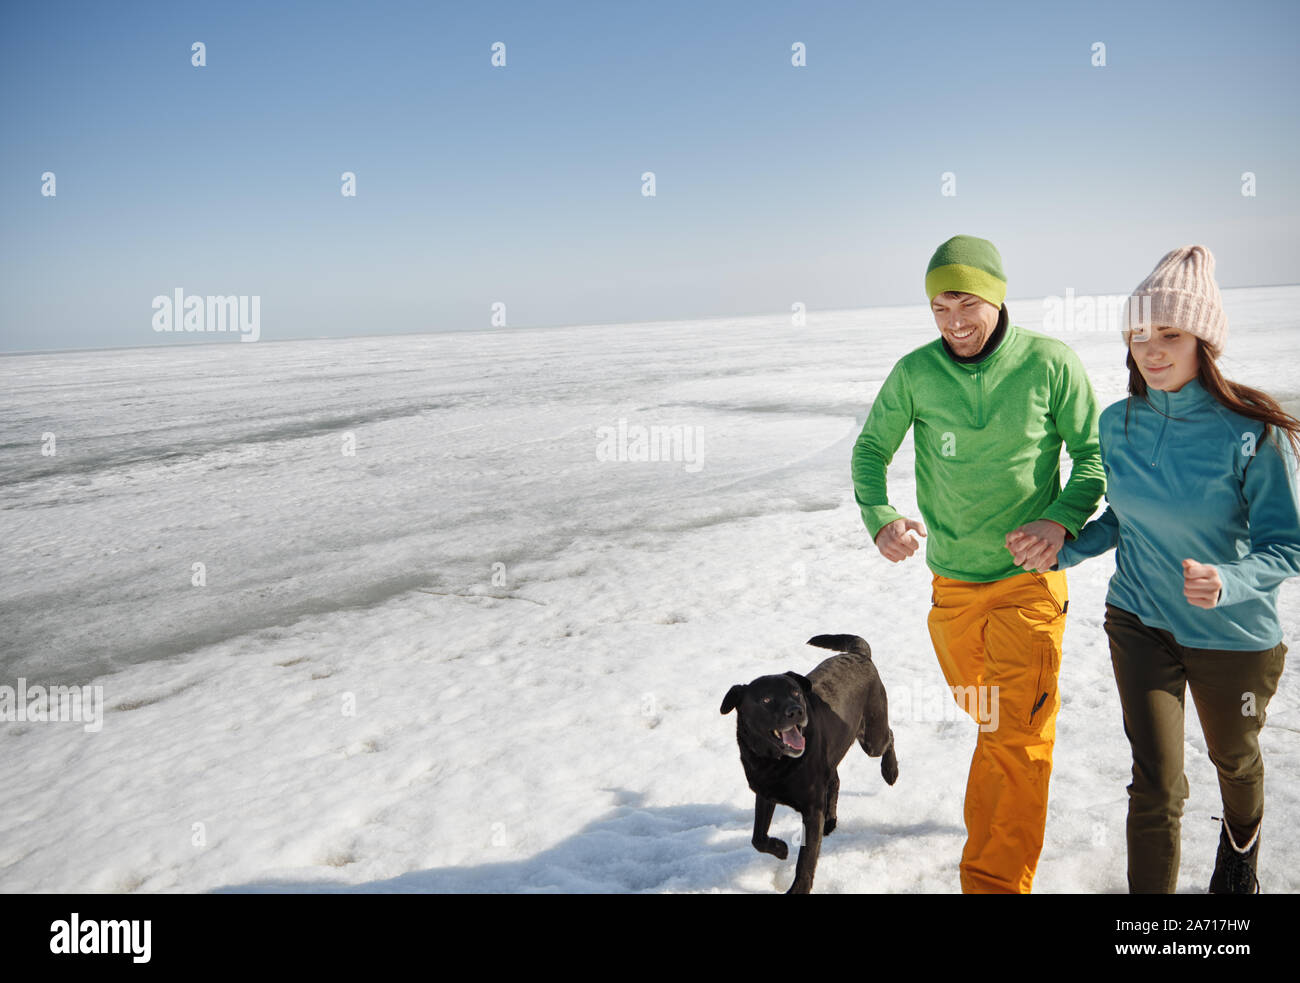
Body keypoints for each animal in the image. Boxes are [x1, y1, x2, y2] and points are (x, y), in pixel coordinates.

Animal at [722, 634, 894, 894]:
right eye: (766, 699)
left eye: (795, 692)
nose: (796, 711)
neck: (773, 762)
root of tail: (858, 654)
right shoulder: (764, 794)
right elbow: (757, 838)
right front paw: (781, 849)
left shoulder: (812, 810)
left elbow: (806, 859)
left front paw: (798, 888)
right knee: (835, 781)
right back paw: (830, 821)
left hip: (873, 737)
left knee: (889, 736)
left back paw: (891, 771)